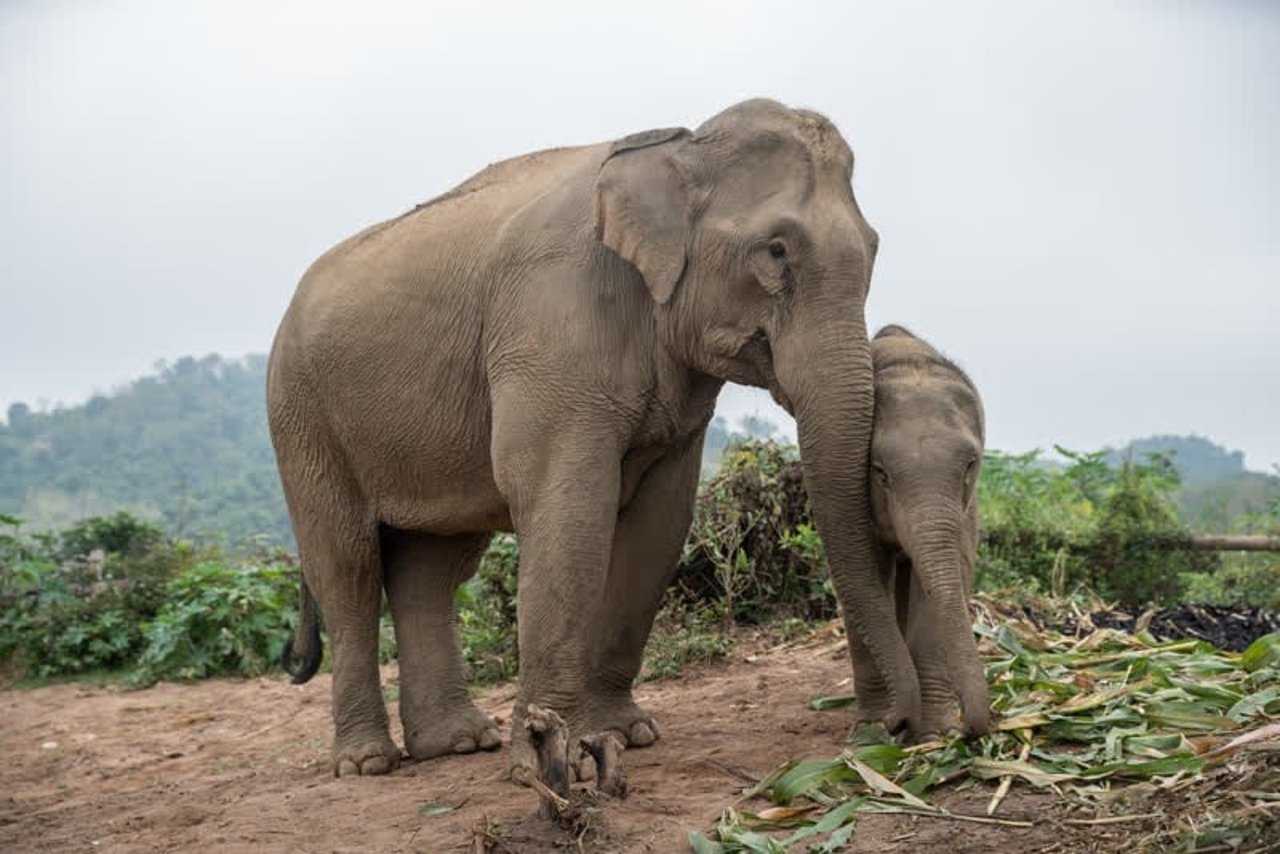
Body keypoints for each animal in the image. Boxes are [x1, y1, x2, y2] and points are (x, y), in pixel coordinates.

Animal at [270, 96, 916, 778]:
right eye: (775, 251)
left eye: (874, 250)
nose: (885, 729)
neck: (679, 146)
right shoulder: (551, 326)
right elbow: (569, 507)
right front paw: (556, 763)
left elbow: (658, 522)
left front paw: (627, 733)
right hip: (301, 416)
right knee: (348, 567)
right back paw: (367, 763)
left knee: (432, 567)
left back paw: (457, 744)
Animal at [855, 323, 993, 737]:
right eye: (880, 473)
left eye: (970, 465)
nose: (963, 729)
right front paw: (873, 733)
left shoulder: (966, 508)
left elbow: (948, 578)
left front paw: (931, 735)